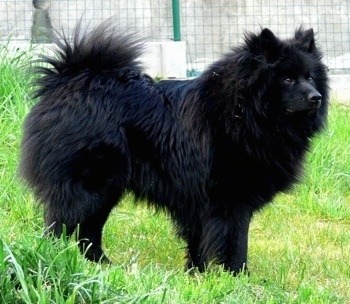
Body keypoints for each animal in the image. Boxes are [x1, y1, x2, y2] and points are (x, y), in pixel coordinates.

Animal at [19, 21, 328, 274]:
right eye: (287, 79)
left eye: (311, 78)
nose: (316, 97)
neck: (243, 112)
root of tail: (70, 79)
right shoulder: (230, 201)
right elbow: (236, 244)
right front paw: (237, 277)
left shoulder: (202, 203)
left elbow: (200, 242)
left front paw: (197, 274)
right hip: (88, 184)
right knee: (60, 225)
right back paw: (55, 259)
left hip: (107, 189)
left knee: (88, 232)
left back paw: (104, 266)